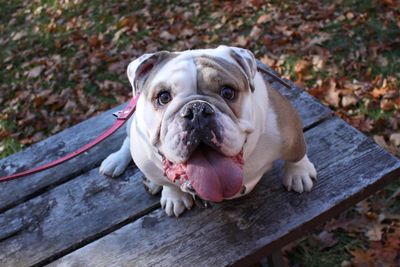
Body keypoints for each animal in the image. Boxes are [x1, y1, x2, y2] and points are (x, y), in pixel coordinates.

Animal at [99, 46, 316, 218]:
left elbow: (297, 154)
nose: (196, 110)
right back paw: (117, 162)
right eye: (163, 97)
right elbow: (168, 183)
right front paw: (174, 196)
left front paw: (299, 173)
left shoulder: (289, 131)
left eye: (228, 92)